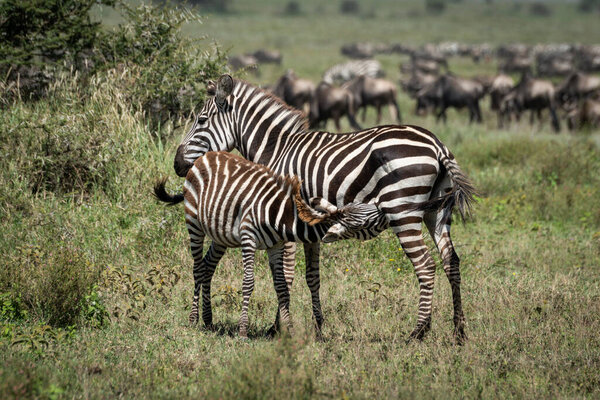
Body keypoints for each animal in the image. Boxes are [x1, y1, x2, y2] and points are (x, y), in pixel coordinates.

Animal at [172, 76, 474, 344]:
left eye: (201, 121)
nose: (176, 164)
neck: (277, 150)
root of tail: (437, 145)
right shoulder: (308, 223)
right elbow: (311, 276)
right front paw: (317, 327)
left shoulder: (284, 214)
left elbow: (285, 275)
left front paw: (277, 328)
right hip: (437, 211)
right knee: (451, 262)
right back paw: (458, 331)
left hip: (403, 210)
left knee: (425, 265)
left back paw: (418, 332)